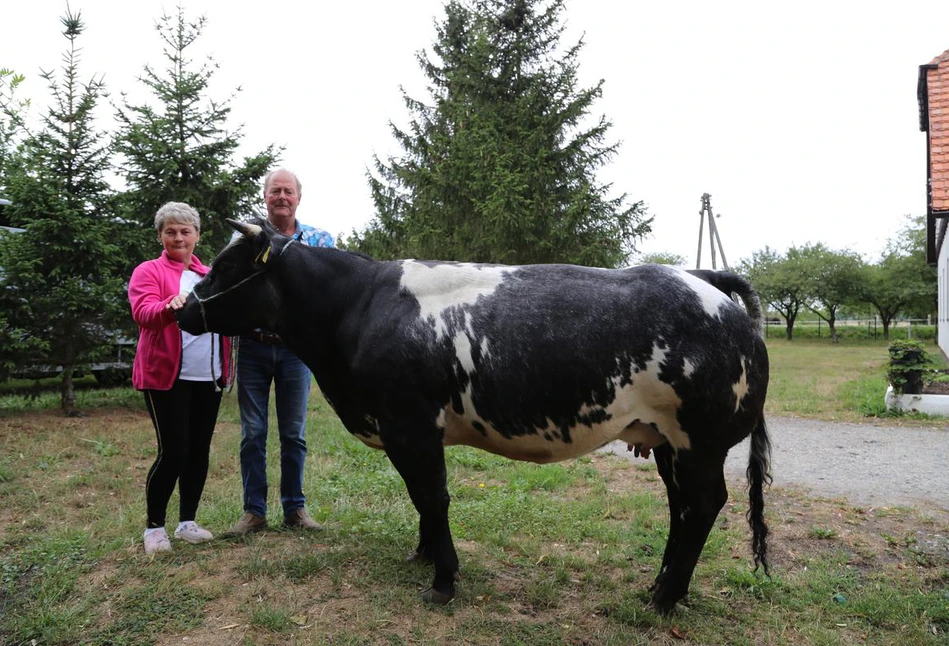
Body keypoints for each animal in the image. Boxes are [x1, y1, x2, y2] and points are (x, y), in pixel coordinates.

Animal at [178, 220, 772, 616]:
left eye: (226, 267)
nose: (183, 310)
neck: (357, 308)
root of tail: (704, 282)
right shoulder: (411, 430)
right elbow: (421, 497)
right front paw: (424, 556)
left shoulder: (408, 423)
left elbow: (431, 495)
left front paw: (443, 580)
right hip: (669, 440)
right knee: (681, 508)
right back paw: (661, 587)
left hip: (700, 439)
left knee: (703, 504)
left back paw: (665, 600)